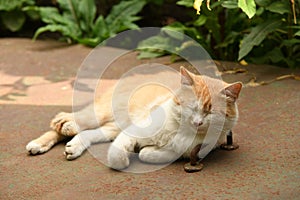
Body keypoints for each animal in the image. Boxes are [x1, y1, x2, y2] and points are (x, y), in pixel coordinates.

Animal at [25, 66, 241, 170]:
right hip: (103, 113)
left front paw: (144, 151)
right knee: (66, 125)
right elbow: (118, 154)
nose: (197, 122)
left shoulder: (185, 152)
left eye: (210, 112)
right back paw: (46, 138)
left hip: (113, 127)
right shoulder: (136, 129)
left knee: (88, 134)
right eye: (191, 106)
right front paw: (122, 161)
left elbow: (150, 154)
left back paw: (74, 147)